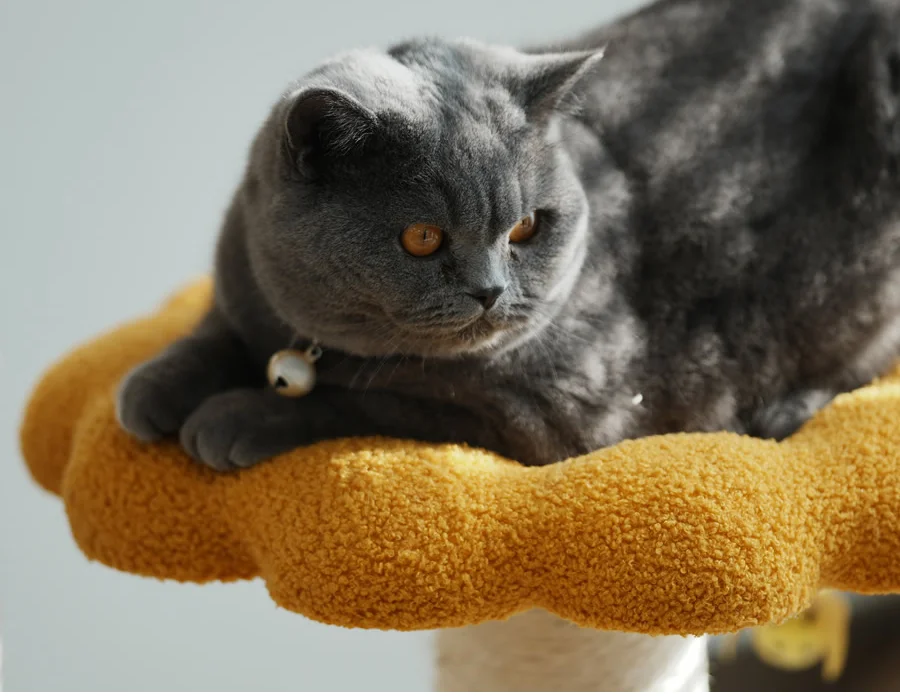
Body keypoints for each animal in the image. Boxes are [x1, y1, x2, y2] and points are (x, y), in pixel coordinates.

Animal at [116, 0, 900, 470]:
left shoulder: (544, 419)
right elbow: (208, 334)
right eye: (422, 238)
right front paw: (147, 392)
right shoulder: (239, 286)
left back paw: (780, 411)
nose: (491, 291)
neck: (307, 340)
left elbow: (363, 402)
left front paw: (229, 417)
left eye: (525, 227)